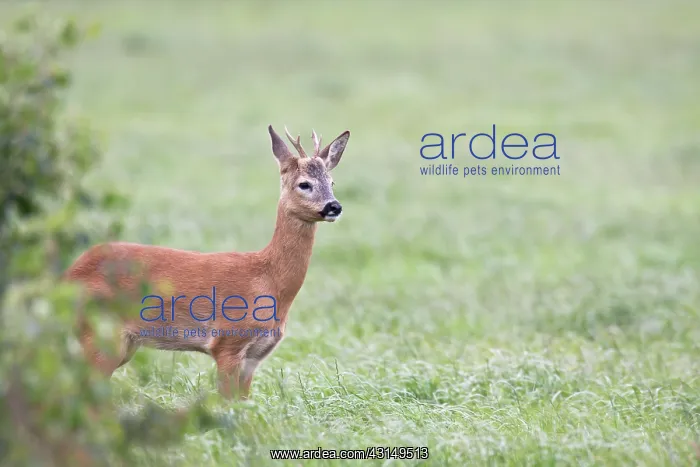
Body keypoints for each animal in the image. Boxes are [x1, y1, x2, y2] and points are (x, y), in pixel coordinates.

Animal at [64, 124, 351, 399]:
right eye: (304, 184)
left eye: (332, 181)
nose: (334, 207)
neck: (268, 281)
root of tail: (67, 276)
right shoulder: (227, 342)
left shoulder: (255, 356)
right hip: (100, 332)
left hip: (123, 343)